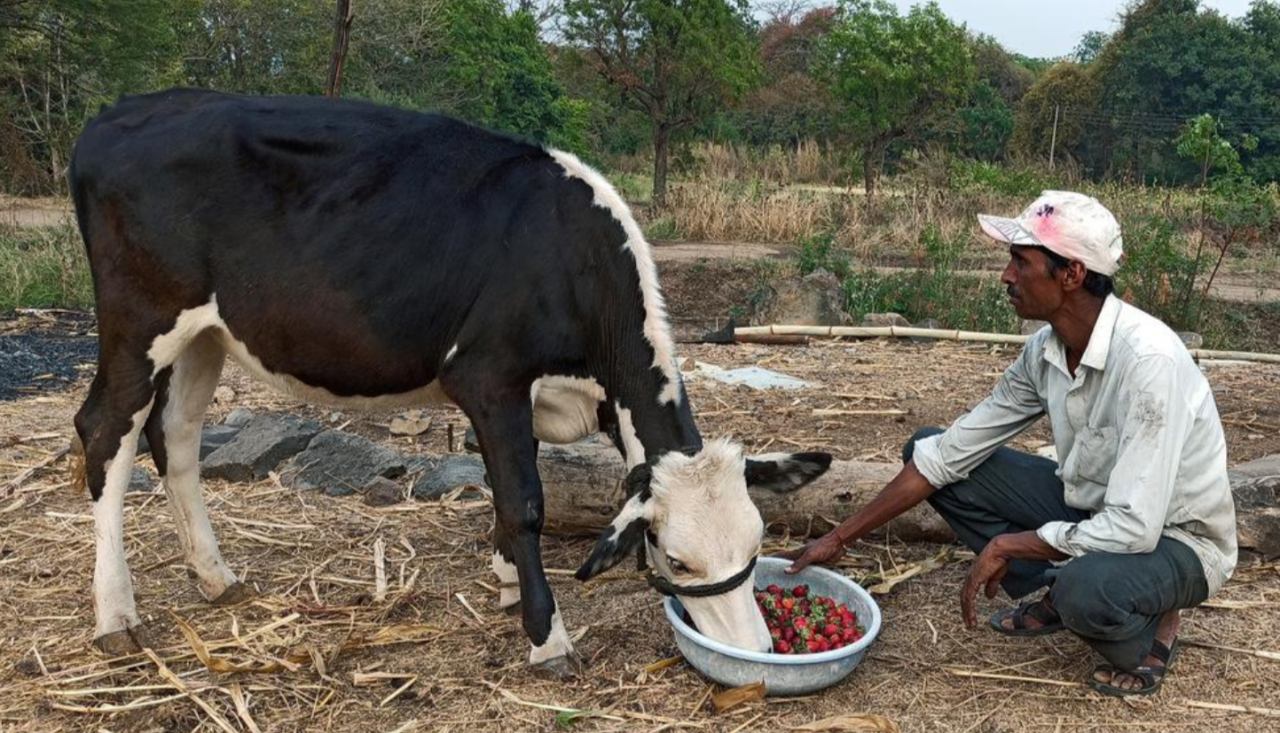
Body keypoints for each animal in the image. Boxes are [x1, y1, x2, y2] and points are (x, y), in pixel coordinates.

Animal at [67, 90, 829, 675]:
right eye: (676, 558)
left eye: (757, 544)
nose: (758, 648)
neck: (568, 257)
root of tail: (117, 113)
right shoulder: (488, 376)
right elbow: (524, 501)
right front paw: (546, 635)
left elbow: (503, 486)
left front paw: (506, 581)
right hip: (139, 319)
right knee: (105, 430)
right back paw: (115, 615)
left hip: (206, 333)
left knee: (175, 435)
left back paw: (215, 576)